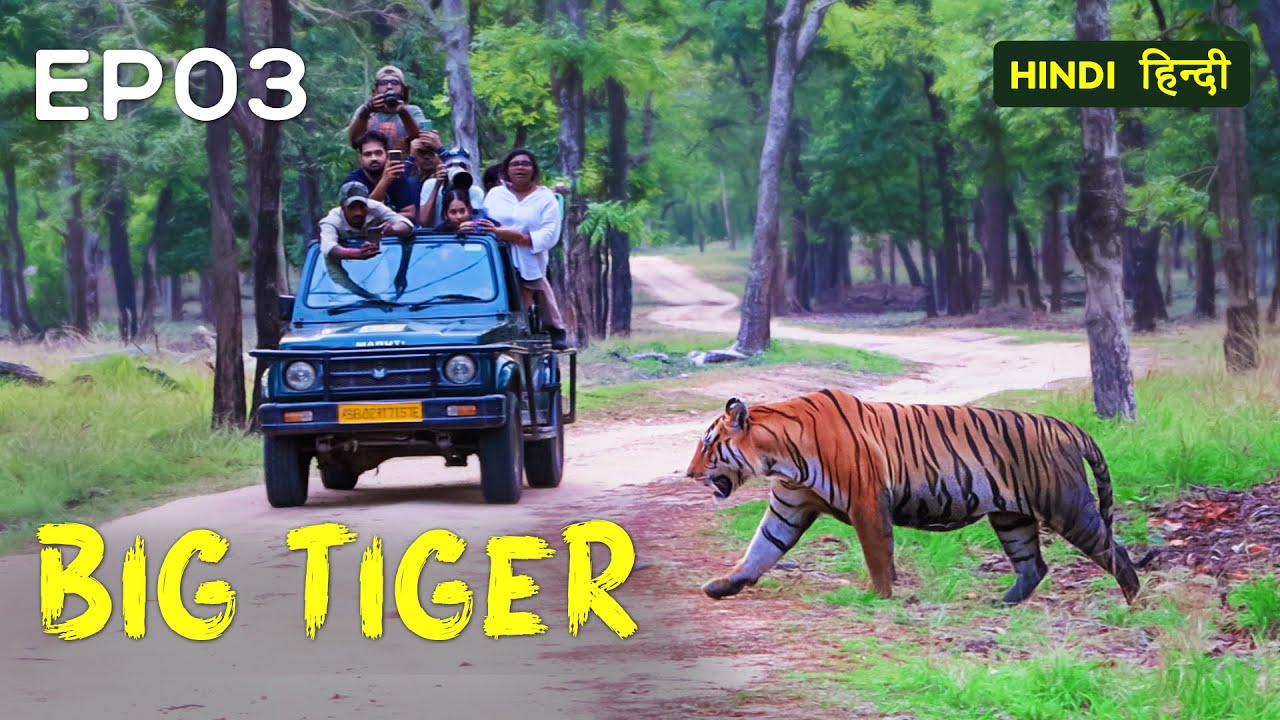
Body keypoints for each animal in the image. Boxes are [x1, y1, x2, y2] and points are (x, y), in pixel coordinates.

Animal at [684, 389, 1142, 606]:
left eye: (707, 445)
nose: (689, 473)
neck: (779, 455)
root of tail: (1067, 426)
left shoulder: (867, 500)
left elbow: (877, 555)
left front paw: (880, 597)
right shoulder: (789, 506)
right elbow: (761, 548)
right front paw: (722, 585)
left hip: (1067, 506)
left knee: (1115, 550)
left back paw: (1136, 602)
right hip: (1012, 517)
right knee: (1033, 565)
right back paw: (1003, 604)